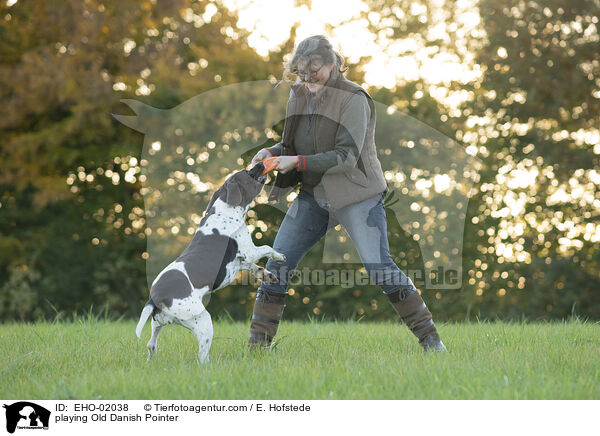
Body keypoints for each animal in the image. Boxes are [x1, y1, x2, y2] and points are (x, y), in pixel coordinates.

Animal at [136, 162, 286, 362]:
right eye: (248, 172)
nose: (260, 163)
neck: (226, 210)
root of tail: (154, 299)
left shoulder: (239, 262)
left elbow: (255, 268)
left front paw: (267, 275)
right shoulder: (249, 251)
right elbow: (267, 248)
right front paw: (279, 255)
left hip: (157, 325)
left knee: (150, 345)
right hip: (203, 322)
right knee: (202, 355)